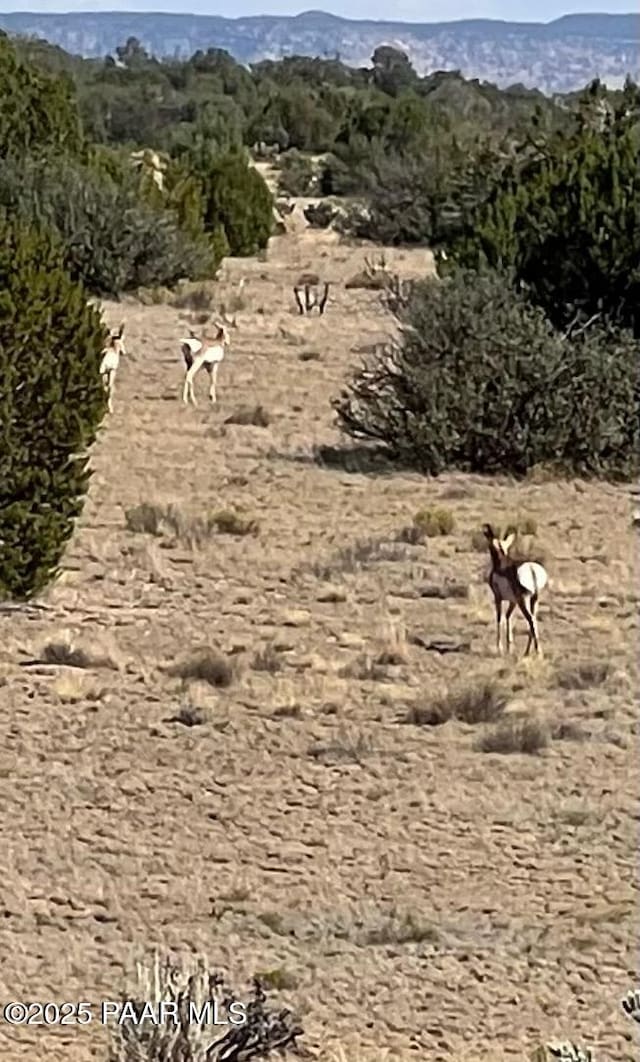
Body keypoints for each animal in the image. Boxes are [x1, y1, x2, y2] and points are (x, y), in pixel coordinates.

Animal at [483, 522, 547, 654]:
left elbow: (499, 619)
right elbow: (508, 616)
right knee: (533, 621)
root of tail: (531, 568)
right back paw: (527, 652)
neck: (501, 564)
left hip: (523, 601)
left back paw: (537, 652)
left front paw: (500, 648)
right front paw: (509, 646)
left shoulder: (498, 598)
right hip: (534, 600)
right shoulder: (513, 602)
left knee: (531, 620)